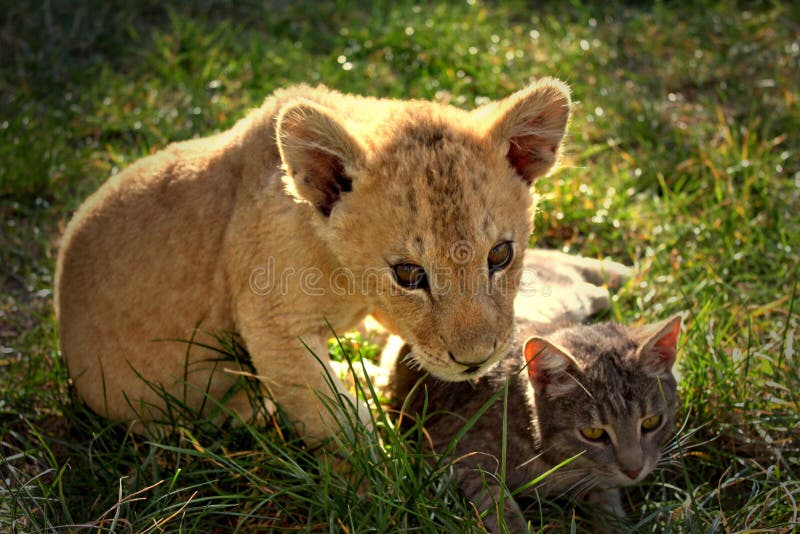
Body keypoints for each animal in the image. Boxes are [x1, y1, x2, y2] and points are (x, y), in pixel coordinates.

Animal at [388, 316, 680, 532]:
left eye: (652, 422)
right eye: (593, 433)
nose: (634, 471)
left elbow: (607, 502)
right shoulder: (460, 458)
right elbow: (498, 505)